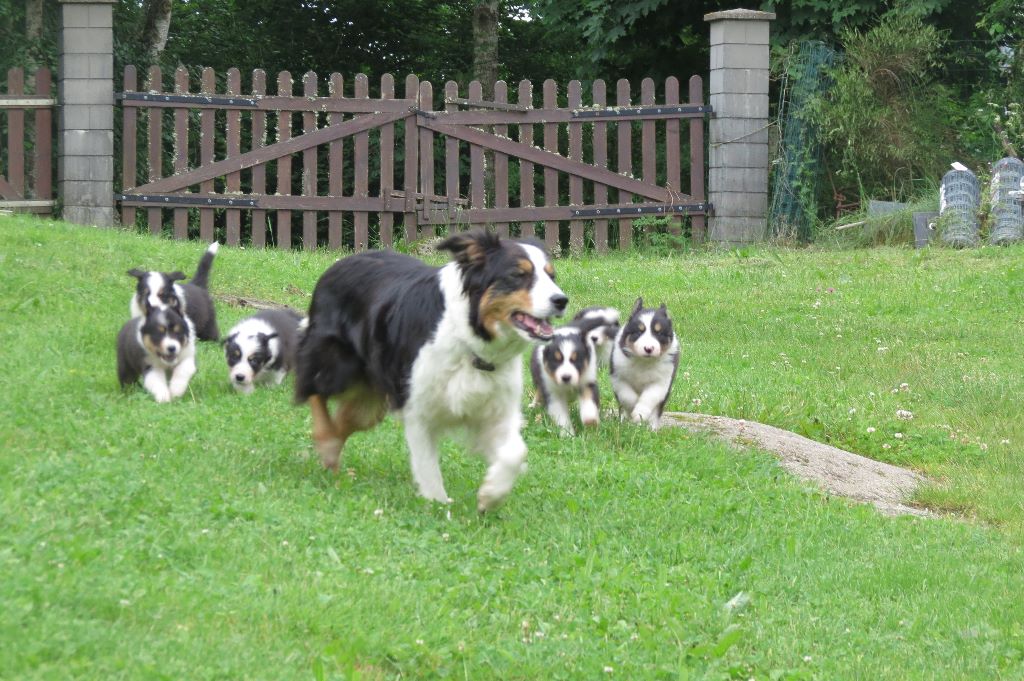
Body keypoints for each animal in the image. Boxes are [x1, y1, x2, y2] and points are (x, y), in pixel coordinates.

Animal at [294, 228, 569, 509]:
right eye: (518, 275)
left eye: (551, 275)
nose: (561, 300)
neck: (469, 338)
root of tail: (337, 264)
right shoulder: (418, 408)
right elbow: (427, 465)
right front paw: (438, 503)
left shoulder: (495, 411)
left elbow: (515, 453)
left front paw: (491, 494)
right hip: (336, 367)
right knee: (312, 389)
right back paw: (326, 442)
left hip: (369, 405)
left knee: (344, 420)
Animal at [606, 296, 679, 430]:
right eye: (639, 332)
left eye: (659, 333)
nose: (648, 349)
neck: (643, 361)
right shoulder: (619, 377)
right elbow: (627, 396)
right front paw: (633, 411)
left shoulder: (661, 382)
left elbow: (649, 397)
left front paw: (639, 414)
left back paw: (651, 428)